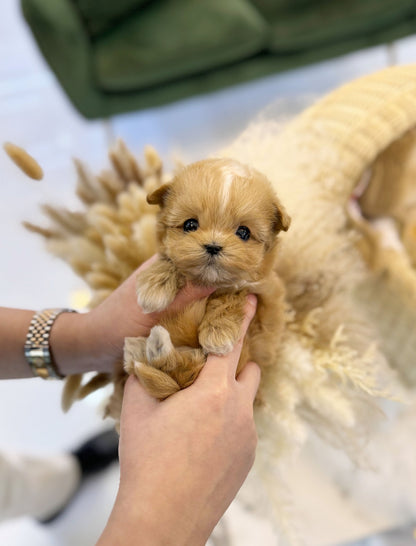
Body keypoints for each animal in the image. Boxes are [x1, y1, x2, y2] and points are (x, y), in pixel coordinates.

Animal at [125, 155, 290, 398]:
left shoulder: (264, 297)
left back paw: (154, 348)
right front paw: (154, 288)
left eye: (243, 232)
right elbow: (170, 260)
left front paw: (218, 333)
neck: (208, 280)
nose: (213, 246)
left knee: (185, 369)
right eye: (190, 225)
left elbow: (231, 295)